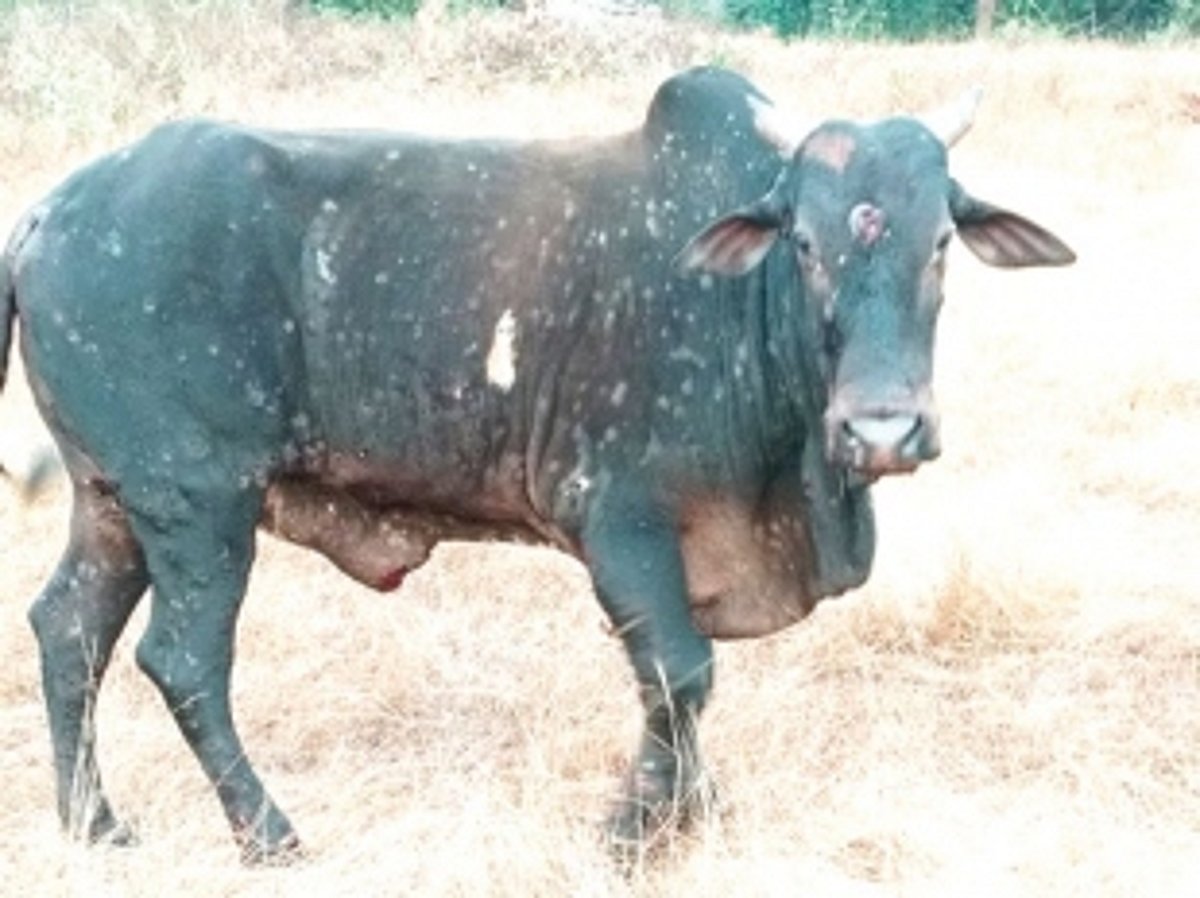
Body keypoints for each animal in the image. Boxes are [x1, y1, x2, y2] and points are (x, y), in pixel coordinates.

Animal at [0, 66, 1074, 863]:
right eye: (803, 243)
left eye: (942, 242)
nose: (884, 430)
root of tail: (53, 209)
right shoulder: (620, 521)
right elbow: (680, 674)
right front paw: (635, 835)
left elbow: (685, 684)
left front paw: (692, 816)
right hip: (198, 505)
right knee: (182, 660)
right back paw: (271, 838)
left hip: (116, 504)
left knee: (69, 631)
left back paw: (95, 828)